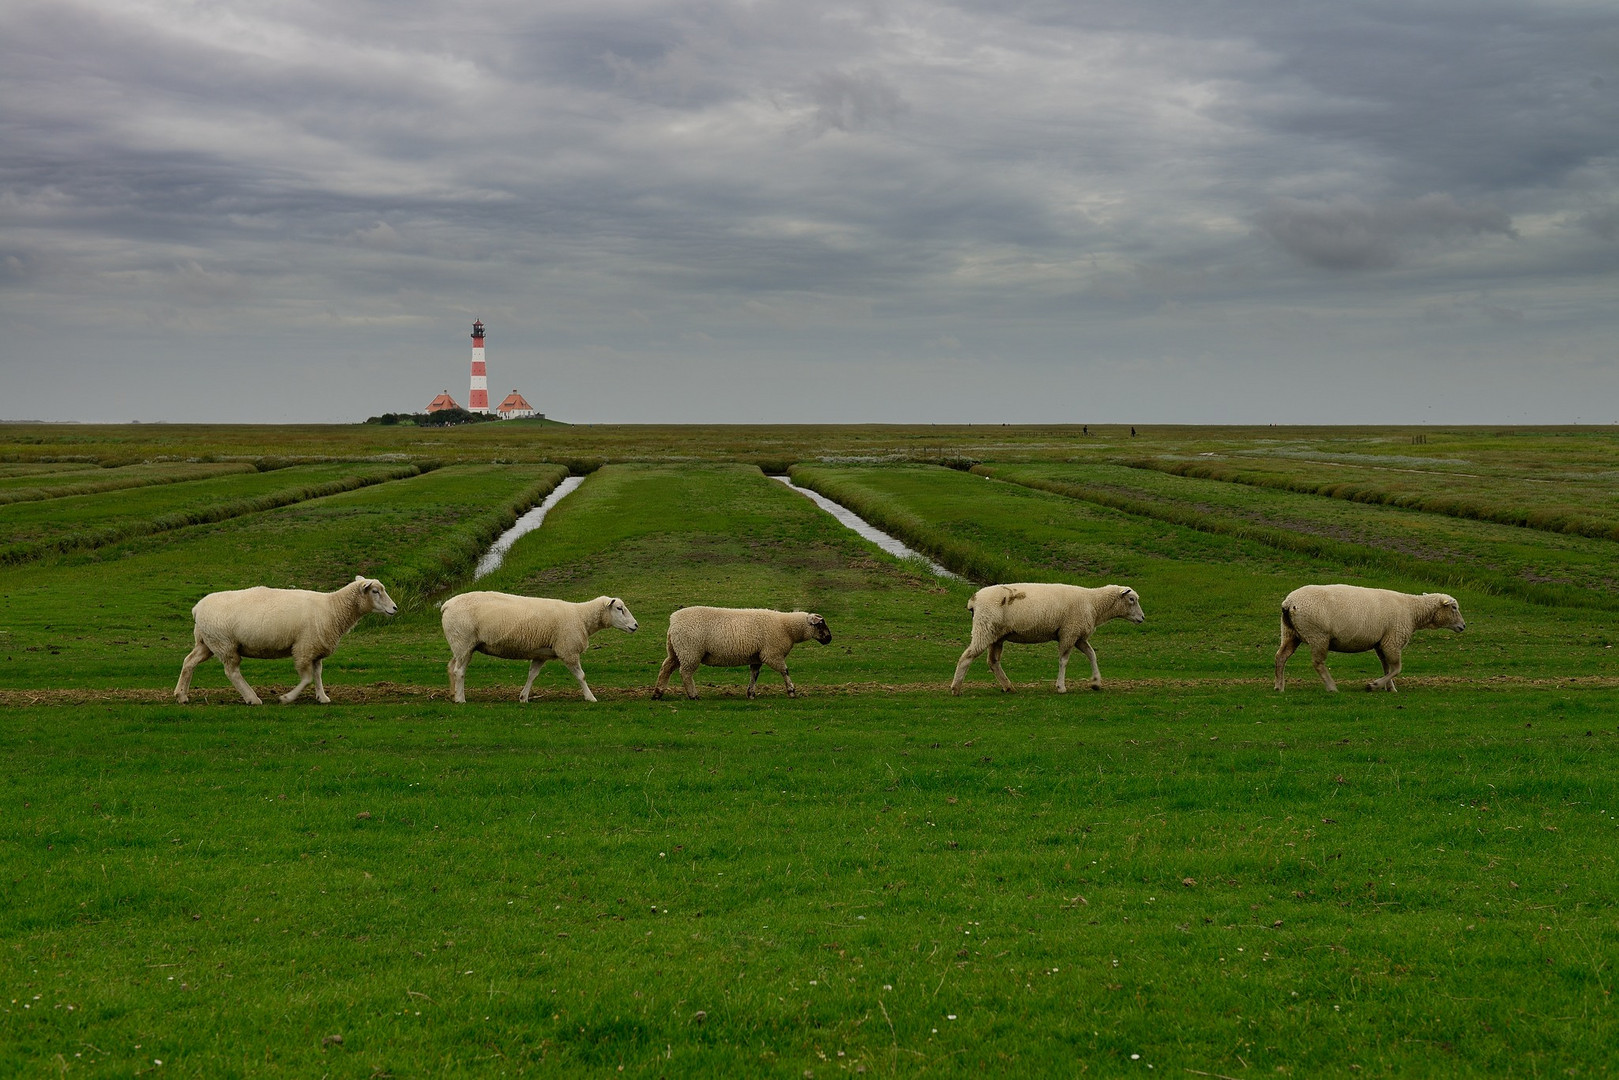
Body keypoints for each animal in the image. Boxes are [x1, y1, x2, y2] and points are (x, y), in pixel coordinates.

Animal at [174, 579, 398, 705]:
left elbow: (317, 674)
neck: (333, 608)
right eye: (375, 591)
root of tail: (197, 608)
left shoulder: (314, 648)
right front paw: (286, 698)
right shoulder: (303, 648)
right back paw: (252, 698)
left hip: (207, 642)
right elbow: (306, 678)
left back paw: (181, 695)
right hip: (225, 643)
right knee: (232, 671)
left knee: (189, 662)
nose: (395, 608)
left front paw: (322, 697)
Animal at [450, 595, 644, 705]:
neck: (581, 617)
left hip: (462, 646)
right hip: (464, 642)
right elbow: (581, 676)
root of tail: (446, 605)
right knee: (459, 671)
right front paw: (590, 697)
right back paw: (461, 699)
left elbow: (532, 675)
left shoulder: (540, 654)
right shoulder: (568, 650)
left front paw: (524, 698)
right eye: (619, 608)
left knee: (452, 668)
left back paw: (453, 694)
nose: (636, 625)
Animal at [647, 608, 828, 702]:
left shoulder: (757, 657)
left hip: (676, 650)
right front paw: (791, 691)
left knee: (666, 668)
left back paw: (658, 693)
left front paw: (751, 693)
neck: (787, 627)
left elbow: (754, 674)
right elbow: (785, 671)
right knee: (685, 673)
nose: (829, 638)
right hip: (690, 651)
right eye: (820, 625)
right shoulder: (772, 654)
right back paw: (693, 695)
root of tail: (673, 621)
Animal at [945, 586, 1146, 696]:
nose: (1142, 618)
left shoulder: (1077, 635)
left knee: (993, 661)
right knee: (967, 657)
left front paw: (1096, 682)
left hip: (996, 635)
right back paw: (956, 688)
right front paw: (1061, 687)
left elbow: (1092, 655)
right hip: (984, 628)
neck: (1094, 603)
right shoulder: (1069, 632)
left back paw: (1008, 687)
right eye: (1131, 599)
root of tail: (974, 600)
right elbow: (1064, 661)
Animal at [1275, 582, 1470, 693]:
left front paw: (1390, 688)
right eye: (1454, 608)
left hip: (1290, 633)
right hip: (1318, 636)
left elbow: (1387, 667)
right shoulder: (1392, 640)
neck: (1412, 611)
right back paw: (1331, 687)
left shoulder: (1381, 642)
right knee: (1318, 663)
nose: (1463, 626)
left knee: (1281, 657)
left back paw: (1279, 686)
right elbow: (1397, 668)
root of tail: (1289, 602)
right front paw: (1374, 685)